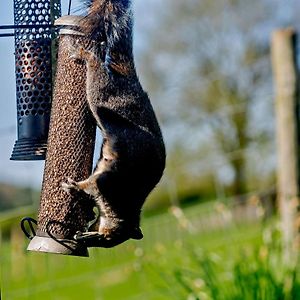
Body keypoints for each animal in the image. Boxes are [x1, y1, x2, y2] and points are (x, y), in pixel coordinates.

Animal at [61, 0, 166, 248]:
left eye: (107, 240)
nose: (82, 237)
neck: (123, 206)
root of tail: (130, 83)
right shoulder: (108, 184)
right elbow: (91, 185)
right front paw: (75, 187)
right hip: (101, 93)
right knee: (96, 68)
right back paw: (85, 55)